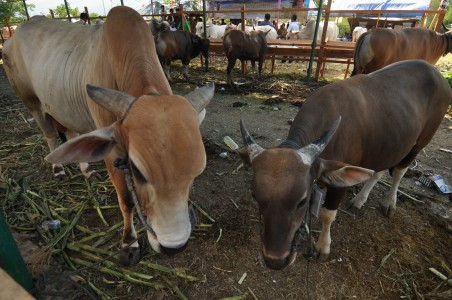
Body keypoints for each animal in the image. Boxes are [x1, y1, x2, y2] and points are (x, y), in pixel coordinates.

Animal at [2, 5, 214, 264]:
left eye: (195, 173)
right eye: (137, 171)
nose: (173, 247)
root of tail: (13, 36)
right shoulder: (113, 152)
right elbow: (127, 201)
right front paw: (129, 243)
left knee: (70, 135)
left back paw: (86, 170)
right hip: (32, 103)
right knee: (51, 136)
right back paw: (59, 169)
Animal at [238, 59, 450, 270]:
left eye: (302, 201)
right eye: (255, 196)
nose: (275, 260)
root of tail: (436, 74)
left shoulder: (338, 185)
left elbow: (327, 214)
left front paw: (323, 247)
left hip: (420, 143)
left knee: (399, 171)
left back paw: (389, 202)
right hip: (388, 144)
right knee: (377, 171)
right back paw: (360, 200)